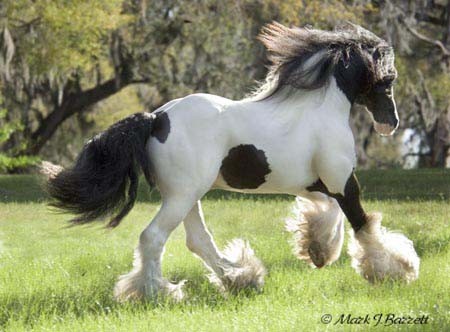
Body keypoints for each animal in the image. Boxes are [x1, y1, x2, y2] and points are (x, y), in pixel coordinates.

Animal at [44, 20, 420, 300]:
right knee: (153, 238)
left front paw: (316, 251)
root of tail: (156, 118)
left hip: (187, 196)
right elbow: (363, 224)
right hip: (182, 197)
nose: (391, 123)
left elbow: (328, 213)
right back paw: (158, 293)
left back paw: (241, 278)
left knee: (197, 241)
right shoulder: (342, 181)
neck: (319, 109)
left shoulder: (314, 184)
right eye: (389, 78)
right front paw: (396, 269)